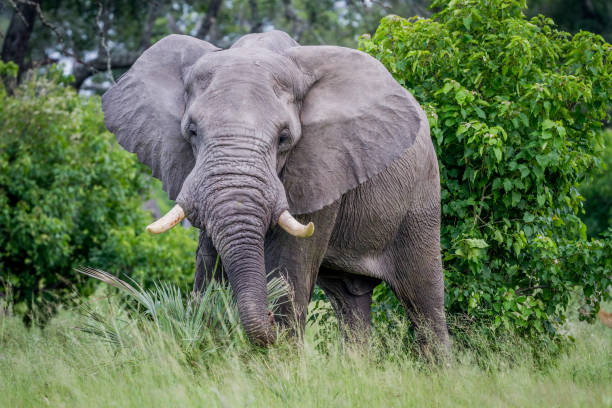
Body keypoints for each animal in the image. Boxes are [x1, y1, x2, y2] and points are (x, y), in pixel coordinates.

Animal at [103, 29, 450, 350]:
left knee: (423, 296)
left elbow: (288, 270)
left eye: (284, 138)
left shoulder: (321, 163)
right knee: (350, 300)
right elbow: (209, 264)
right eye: (192, 131)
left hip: (422, 197)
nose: (265, 317)